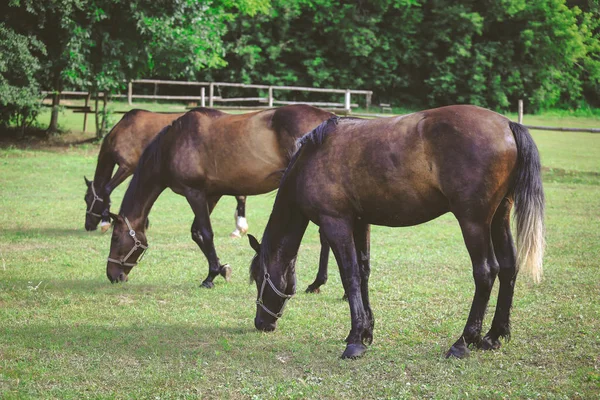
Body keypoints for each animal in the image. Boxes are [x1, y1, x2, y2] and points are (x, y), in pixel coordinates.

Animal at [82, 109, 248, 238]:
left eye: (87, 199)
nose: (88, 226)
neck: (123, 130)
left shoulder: (126, 167)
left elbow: (107, 189)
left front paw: (105, 223)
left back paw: (239, 228)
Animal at [105, 104, 336, 290]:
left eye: (115, 238)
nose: (113, 276)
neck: (173, 145)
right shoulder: (212, 195)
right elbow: (196, 232)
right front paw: (222, 269)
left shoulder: (194, 193)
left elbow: (206, 233)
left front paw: (211, 276)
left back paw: (318, 283)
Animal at [247, 105, 544, 360]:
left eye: (260, 277)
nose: (261, 323)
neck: (311, 159)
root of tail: (507, 124)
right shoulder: (360, 222)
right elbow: (363, 271)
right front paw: (366, 332)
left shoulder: (336, 223)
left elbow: (350, 275)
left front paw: (355, 339)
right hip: (499, 218)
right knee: (508, 267)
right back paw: (492, 336)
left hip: (473, 221)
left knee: (486, 272)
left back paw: (463, 342)